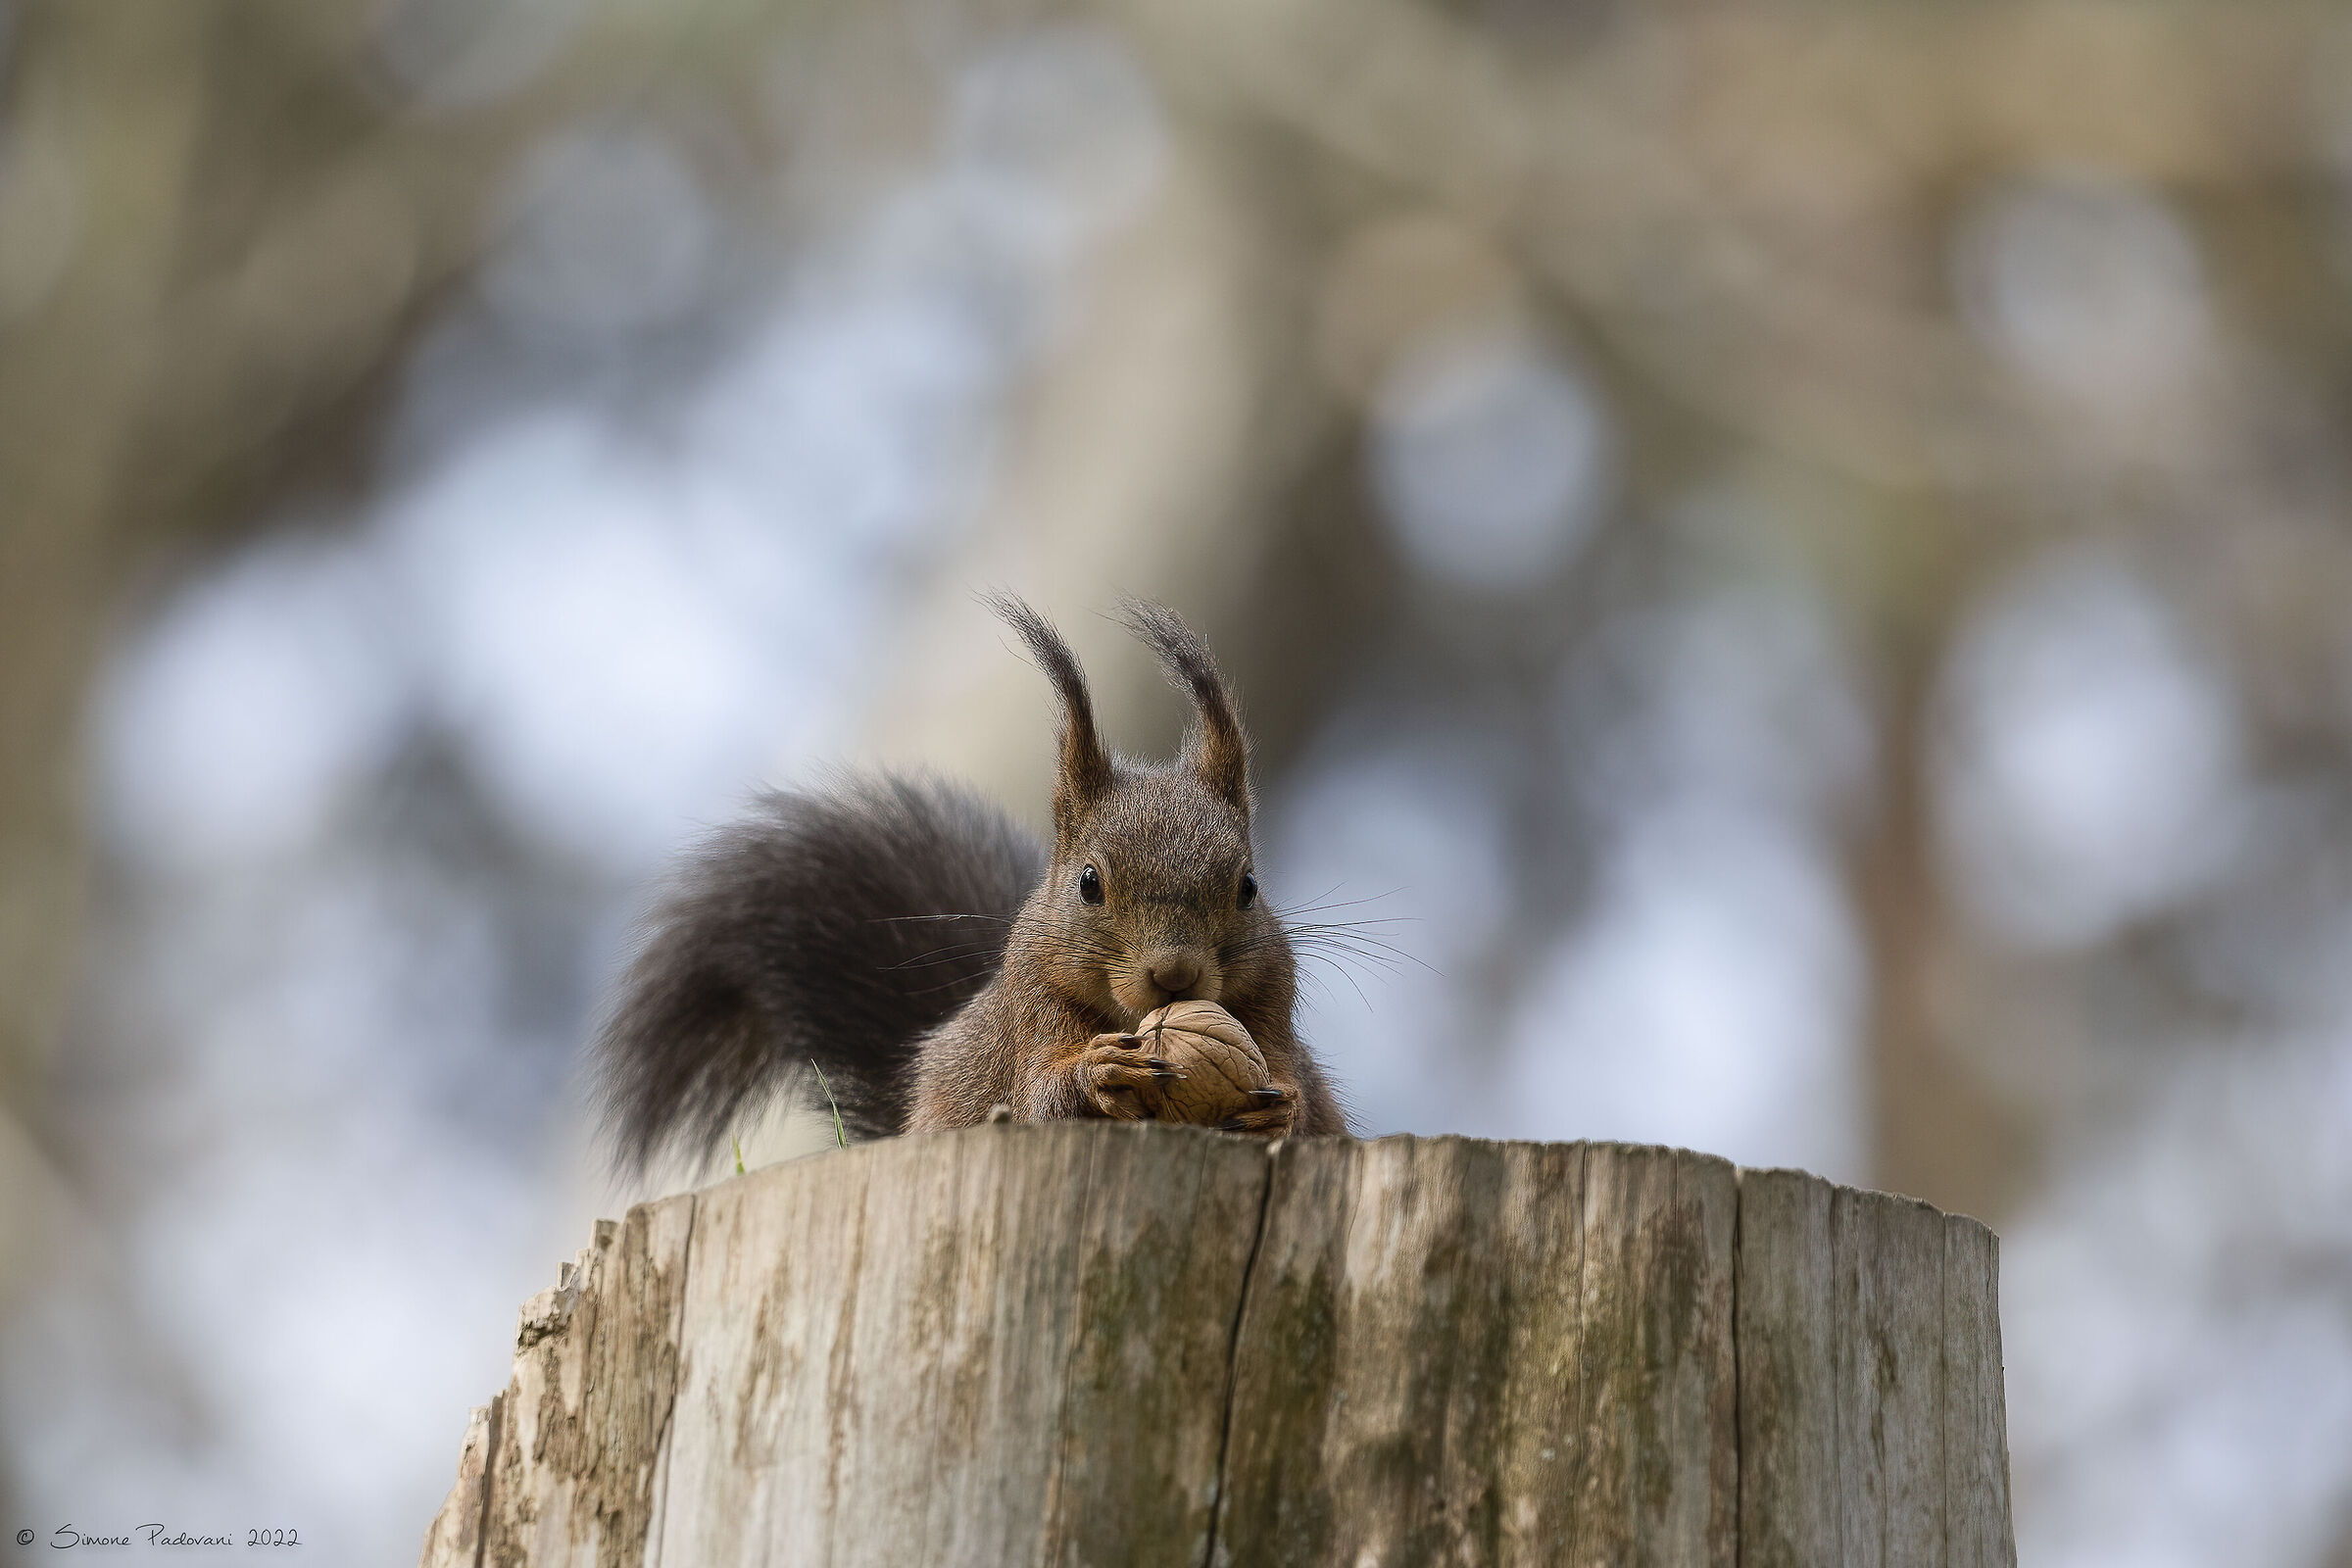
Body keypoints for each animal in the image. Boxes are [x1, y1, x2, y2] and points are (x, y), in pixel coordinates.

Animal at [593, 593, 1348, 1175]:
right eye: (1088, 883)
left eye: (1248, 885)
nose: (1176, 974)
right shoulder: (1032, 1006)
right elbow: (1040, 1094)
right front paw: (1098, 1072)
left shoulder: (1271, 1008)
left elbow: (1293, 1089)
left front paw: (1281, 1111)